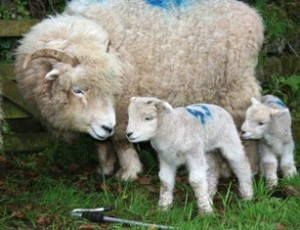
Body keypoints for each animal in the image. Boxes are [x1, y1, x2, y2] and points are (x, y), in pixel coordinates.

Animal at [16, 0, 264, 180]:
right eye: (77, 90)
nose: (106, 126)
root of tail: (252, 16)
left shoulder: (123, 107)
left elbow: (120, 141)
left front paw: (128, 173)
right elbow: (100, 141)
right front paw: (104, 169)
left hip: (236, 87)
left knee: (247, 129)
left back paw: (248, 168)